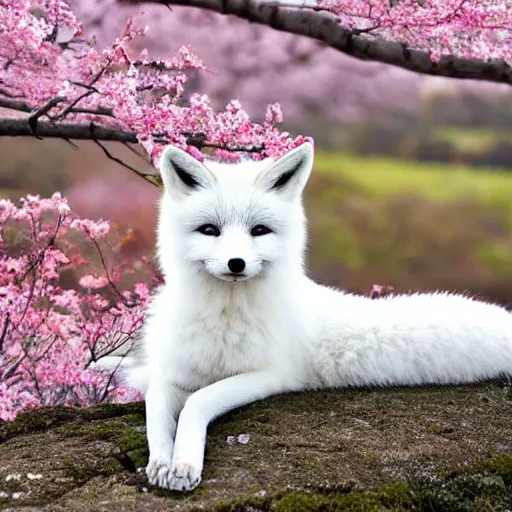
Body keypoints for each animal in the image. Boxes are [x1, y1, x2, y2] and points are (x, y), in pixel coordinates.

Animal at [94, 142, 512, 494]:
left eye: (259, 231)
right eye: (210, 230)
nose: (236, 263)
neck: (225, 320)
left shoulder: (269, 375)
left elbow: (198, 402)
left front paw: (183, 464)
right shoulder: (175, 372)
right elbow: (155, 410)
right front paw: (161, 462)